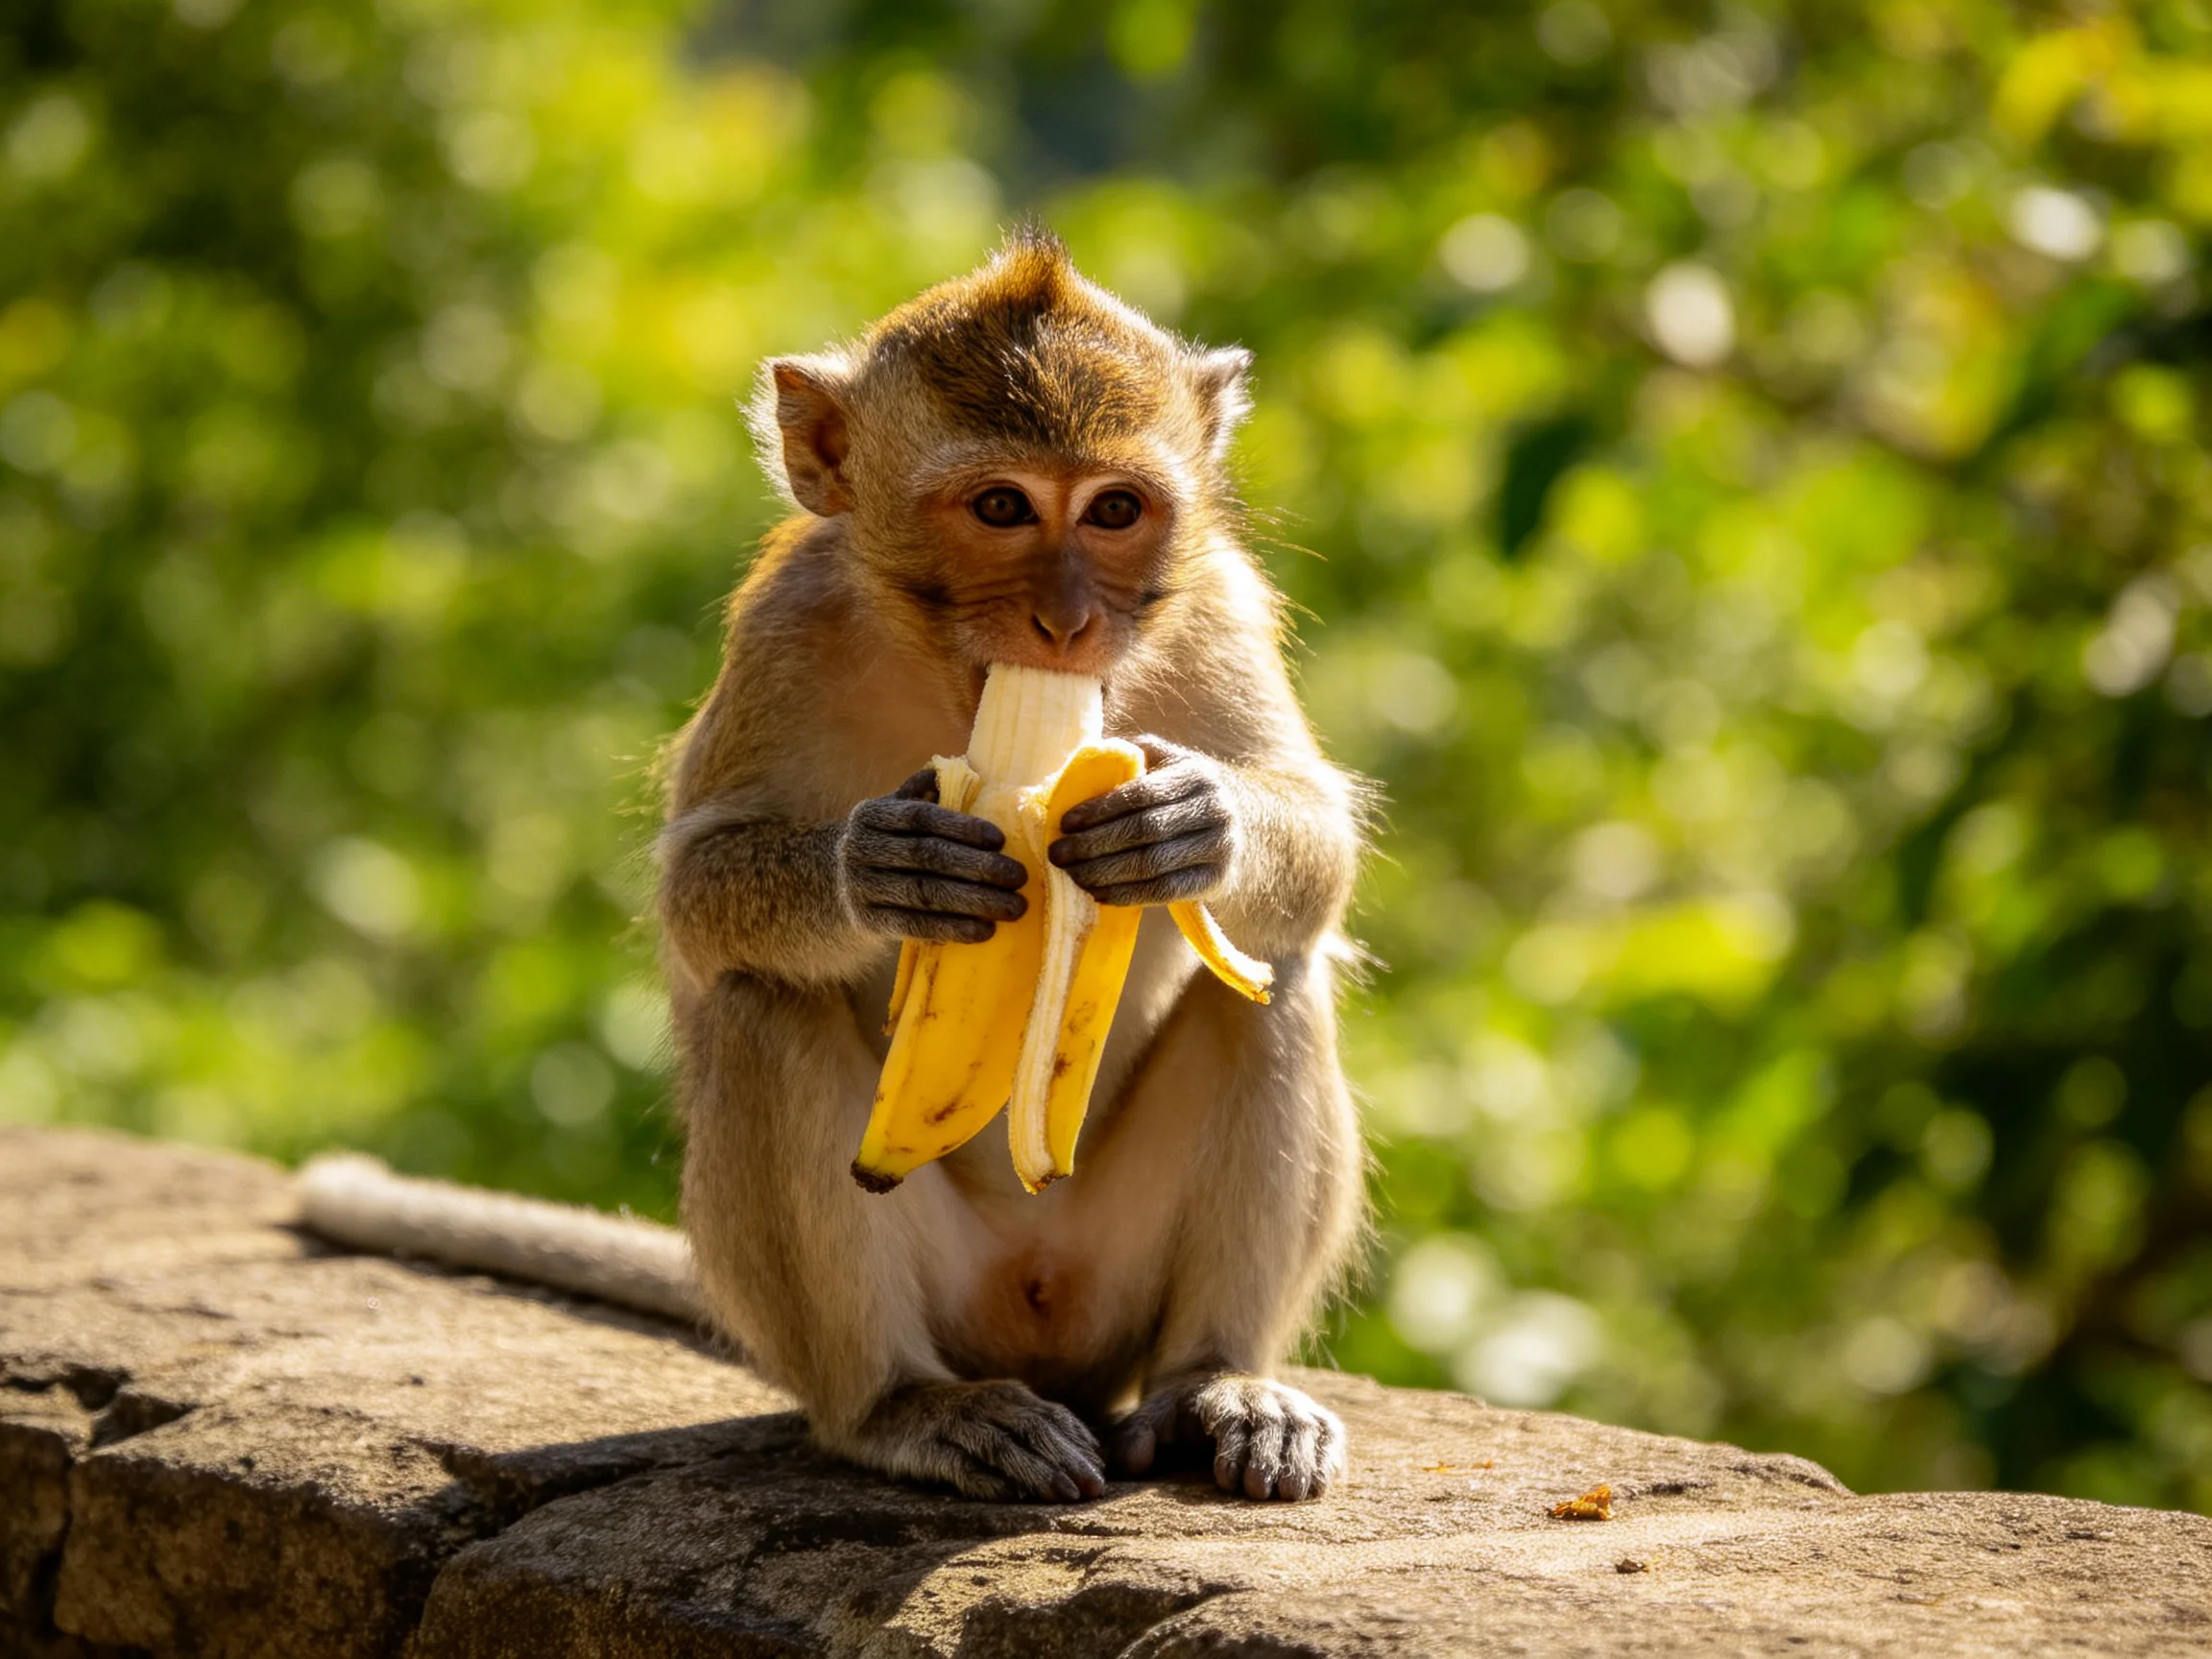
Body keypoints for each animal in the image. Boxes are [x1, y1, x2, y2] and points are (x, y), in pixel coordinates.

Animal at [305, 231, 1367, 1504]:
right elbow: (699, 897)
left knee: (1268, 976)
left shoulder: (1217, 610)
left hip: (1112, 1275)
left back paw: (1218, 1382)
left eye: (1116, 510)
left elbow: (1317, 848)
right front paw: (882, 869)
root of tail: (1042, 1326)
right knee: (766, 1005)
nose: (1067, 626)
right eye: (1001, 507)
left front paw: (1192, 825)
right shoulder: (784, 628)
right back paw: (904, 1407)